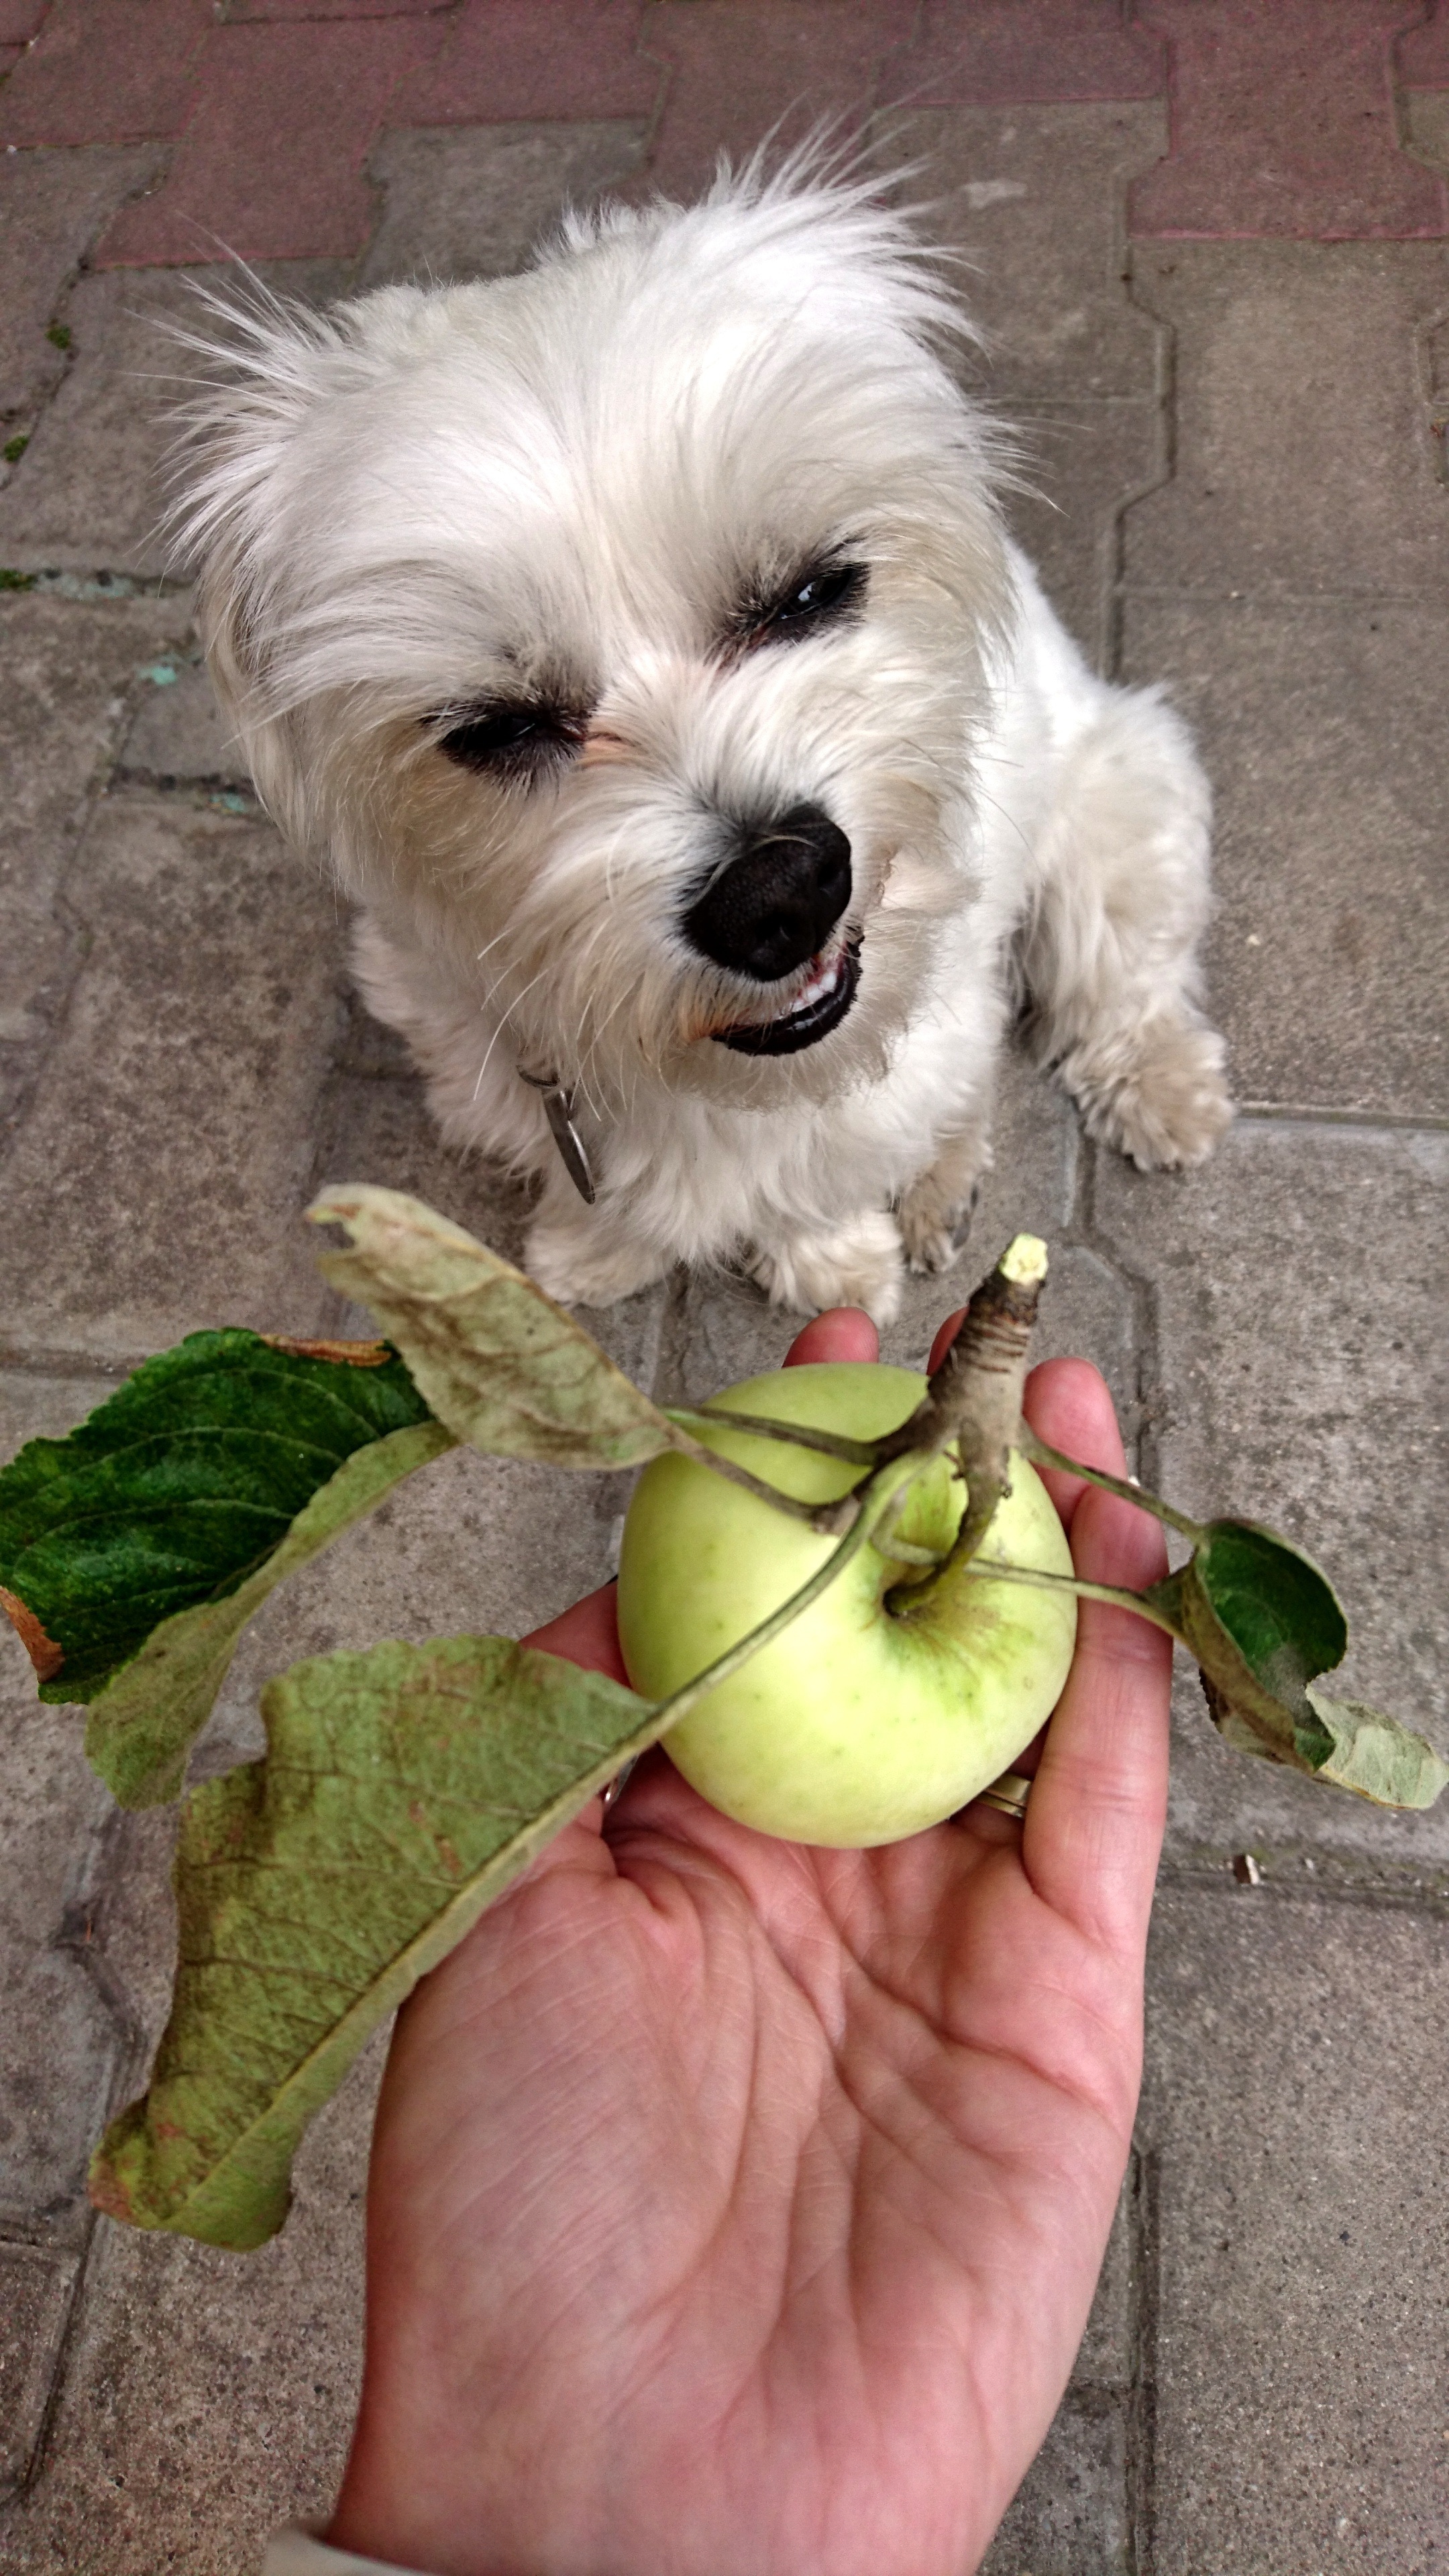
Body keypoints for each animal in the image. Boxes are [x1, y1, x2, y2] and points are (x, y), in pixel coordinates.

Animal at [175, 156, 1222, 1329]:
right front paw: (596, 1252)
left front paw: (833, 1266)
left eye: (810, 591)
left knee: (1118, 985)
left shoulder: (900, 1056)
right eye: (496, 728)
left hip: (1120, 808)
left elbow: (835, 1169)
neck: (708, 1066)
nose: (777, 895)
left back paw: (1148, 1094)